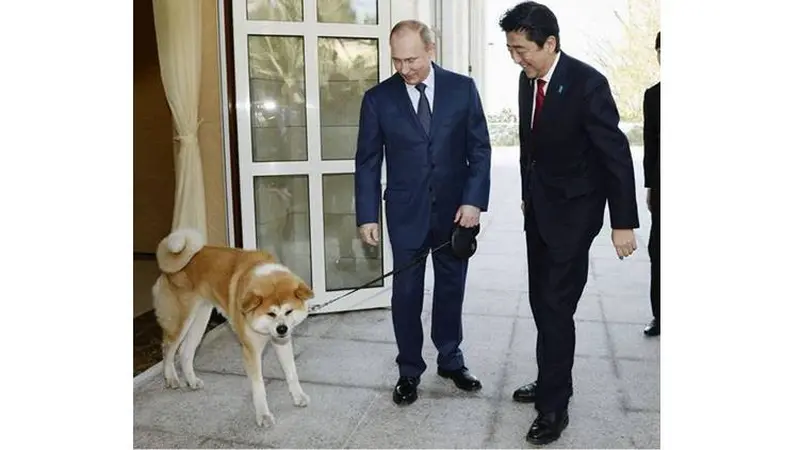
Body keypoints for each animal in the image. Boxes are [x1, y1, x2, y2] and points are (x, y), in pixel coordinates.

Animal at [152, 229, 314, 426]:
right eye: (270, 314)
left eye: (289, 311)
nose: (282, 329)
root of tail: (168, 267)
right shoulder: (251, 351)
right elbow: (259, 386)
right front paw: (263, 415)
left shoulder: (282, 343)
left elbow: (292, 373)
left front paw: (298, 396)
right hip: (181, 320)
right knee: (168, 349)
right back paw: (171, 378)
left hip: (201, 318)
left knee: (185, 352)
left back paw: (192, 380)